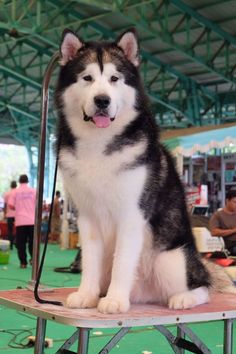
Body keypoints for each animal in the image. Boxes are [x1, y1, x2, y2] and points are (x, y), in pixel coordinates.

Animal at [54, 29, 234, 314]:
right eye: (87, 78)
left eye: (114, 78)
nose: (102, 100)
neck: (99, 142)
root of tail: (144, 294)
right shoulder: (87, 216)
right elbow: (90, 262)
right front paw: (86, 295)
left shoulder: (132, 213)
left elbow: (122, 262)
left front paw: (115, 299)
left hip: (172, 259)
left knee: (204, 285)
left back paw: (183, 298)